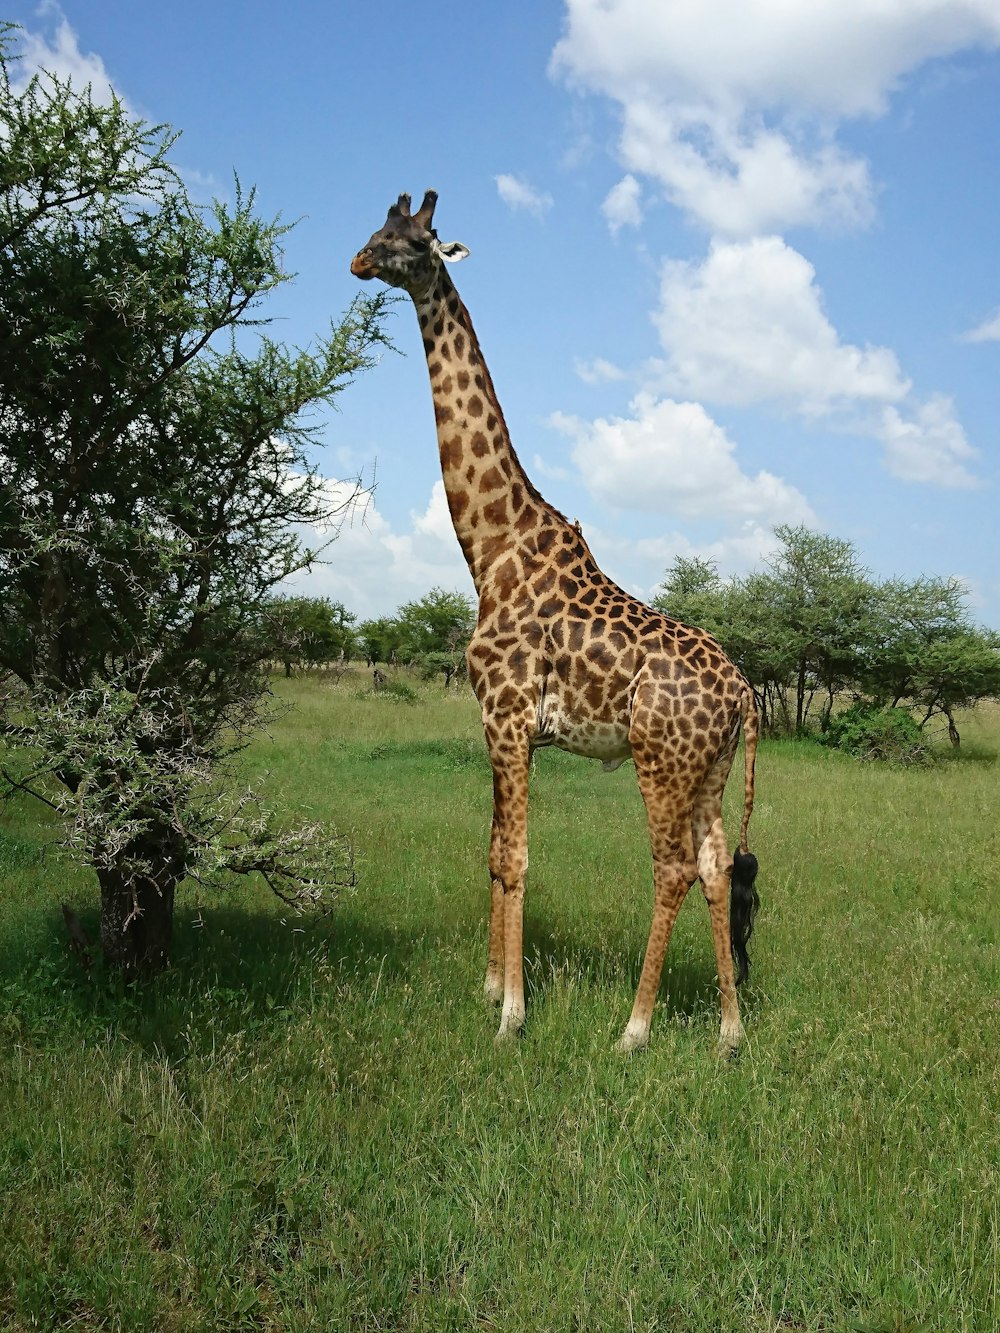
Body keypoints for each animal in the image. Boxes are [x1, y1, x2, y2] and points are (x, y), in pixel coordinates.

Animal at [352, 190, 757, 1050]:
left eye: (412, 242)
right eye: (378, 229)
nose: (358, 260)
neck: (490, 547)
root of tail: (745, 692)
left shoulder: (506, 717)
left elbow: (515, 857)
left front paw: (511, 1013)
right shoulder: (496, 724)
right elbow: (492, 850)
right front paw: (488, 988)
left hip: (659, 759)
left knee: (672, 867)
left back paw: (634, 1029)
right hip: (707, 769)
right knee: (714, 869)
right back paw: (729, 1032)